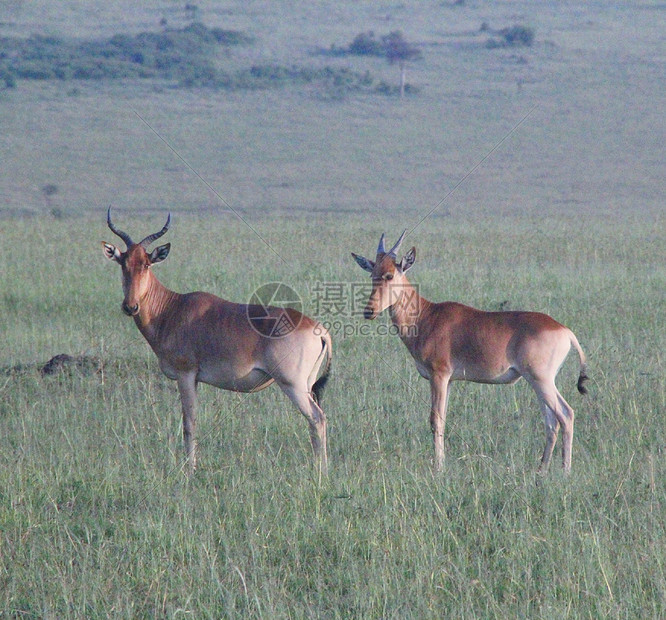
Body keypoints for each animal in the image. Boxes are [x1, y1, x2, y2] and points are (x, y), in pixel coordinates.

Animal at [101, 209, 330, 474]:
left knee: (317, 418)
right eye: (123, 264)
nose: (131, 306)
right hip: (308, 383)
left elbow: (189, 423)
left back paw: (321, 472)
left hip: (292, 384)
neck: (172, 308)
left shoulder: (186, 374)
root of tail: (318, 329)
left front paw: (190, 470)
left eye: (146, 264)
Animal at [352, 230, 588, 472]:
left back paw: (565, 471)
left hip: (541, 380)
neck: (428, 315)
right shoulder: (449, 381)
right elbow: (443, 417)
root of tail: (564, 330)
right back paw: (541, 470)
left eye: (390, 275)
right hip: (538, 381)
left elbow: (435, 419)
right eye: (372, 274)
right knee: (551, 422)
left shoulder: (439, 376)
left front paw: (439, 468)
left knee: (566, 415)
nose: (369, 311)